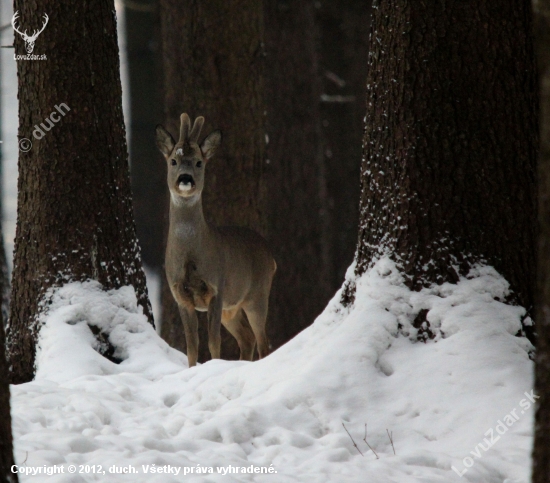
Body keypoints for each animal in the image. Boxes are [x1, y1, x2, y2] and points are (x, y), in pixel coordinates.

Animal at [155, 115, 276, 368]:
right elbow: (191, 346)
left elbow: (213, 341)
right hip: (233, 308)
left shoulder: (216, 288)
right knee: (247, 338)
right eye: (173, 160)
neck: (190, 256)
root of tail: (272, 257)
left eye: (199, 162)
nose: (185, 178)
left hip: (258, 295)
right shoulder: (180, 295)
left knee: (262, 341)